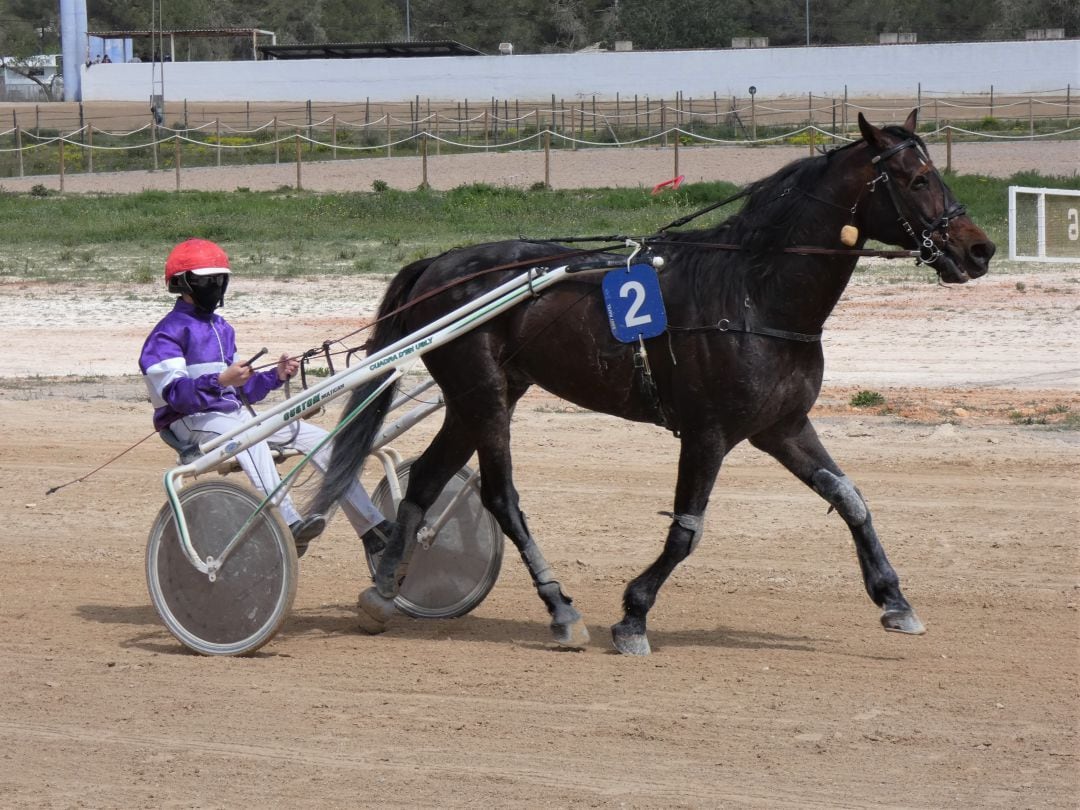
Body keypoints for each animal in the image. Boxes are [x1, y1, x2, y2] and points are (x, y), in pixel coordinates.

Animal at [311, 111, 993, 656]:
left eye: (935, 173)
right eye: (917, 180)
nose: (979, 250)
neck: (754, 293)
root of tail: (438, 264)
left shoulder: (781, 426)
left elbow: (851, 498)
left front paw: (894, 600)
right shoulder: (708, 432)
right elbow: (687, 529)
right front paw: (633, 614)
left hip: (476, 397)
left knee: (427, 479)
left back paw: (384, 590)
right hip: (485, 395)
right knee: (500, 496)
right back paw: (560, 610)